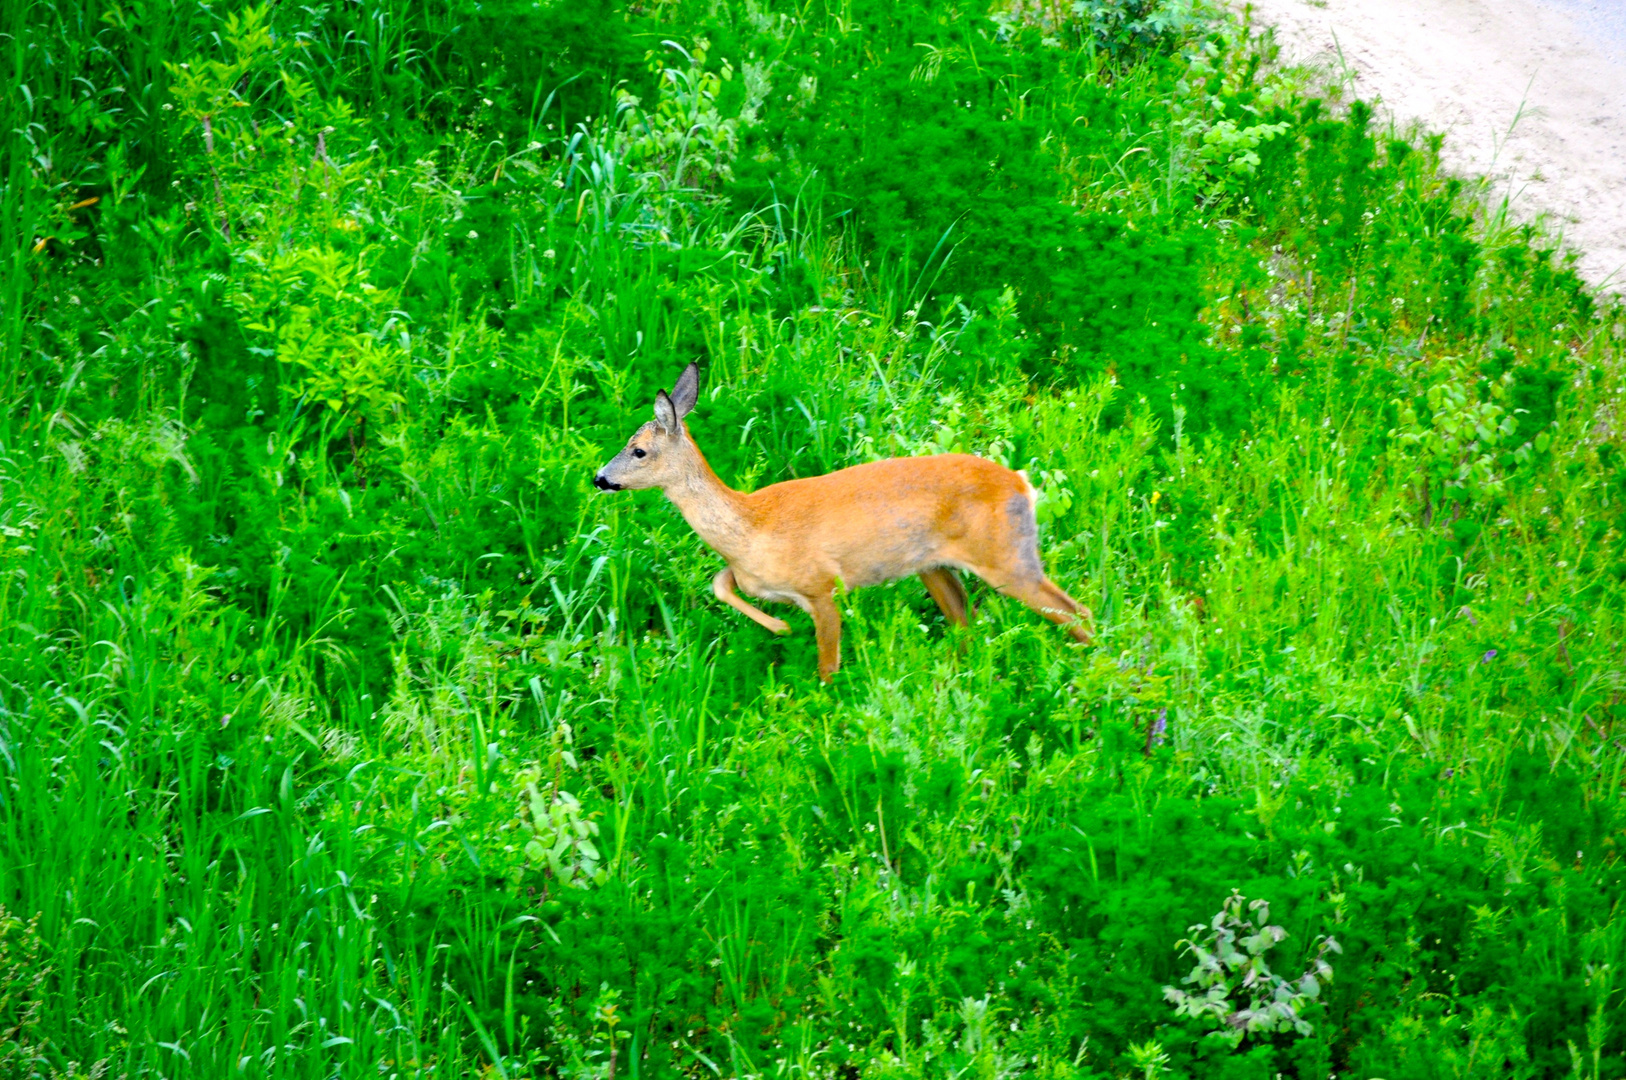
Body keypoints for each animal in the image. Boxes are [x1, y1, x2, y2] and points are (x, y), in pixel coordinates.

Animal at [588, 364, 1092, 683]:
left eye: (638, 450)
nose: (600, 478)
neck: (752, 524)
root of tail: (1023, 484)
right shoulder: (753, 575)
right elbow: (721, 583)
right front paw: (780, 627)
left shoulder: (823, 586)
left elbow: (827, 666)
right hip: (934, 566)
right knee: (966, 617)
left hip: (1006, 556)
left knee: (1074, 610)